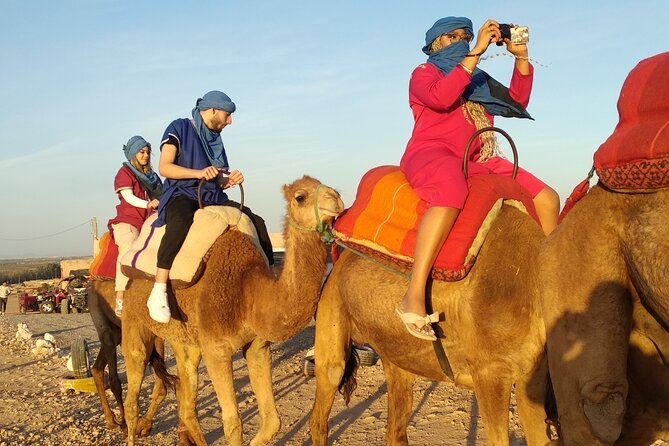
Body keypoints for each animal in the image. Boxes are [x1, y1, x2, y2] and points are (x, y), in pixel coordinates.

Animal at [119, 177, 344, 446]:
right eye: (300, 197)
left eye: (330, 187)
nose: (336, 199)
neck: (248, 292)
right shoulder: (217, 350)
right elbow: (233, 423)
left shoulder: (258, 347)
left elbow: (272, 422)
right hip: (133, 320)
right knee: (133, 390)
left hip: (184, 339)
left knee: (186, 397)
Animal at [310, 205, 556, 446]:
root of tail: (337, 263)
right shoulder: (490, 372)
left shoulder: (533, 373)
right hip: (332, 313)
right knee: (325, 398)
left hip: (395, 354)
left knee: (395, 429)